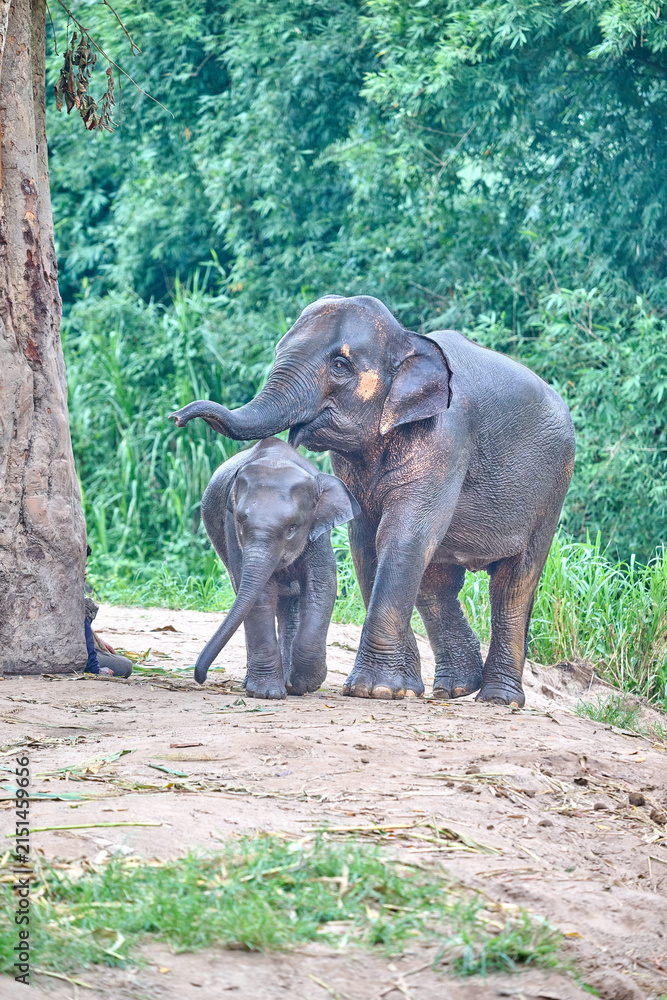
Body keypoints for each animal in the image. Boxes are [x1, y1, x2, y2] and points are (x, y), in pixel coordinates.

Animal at [192, 436, 359, 698]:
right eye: (241, 521)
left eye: (292, 527)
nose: (200, 677)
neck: (277, 460)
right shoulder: (231, 528)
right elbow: (259, 593)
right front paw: (267, 693)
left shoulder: (318, 531)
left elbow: (322, 584)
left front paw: (305, 683)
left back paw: (290, 684)